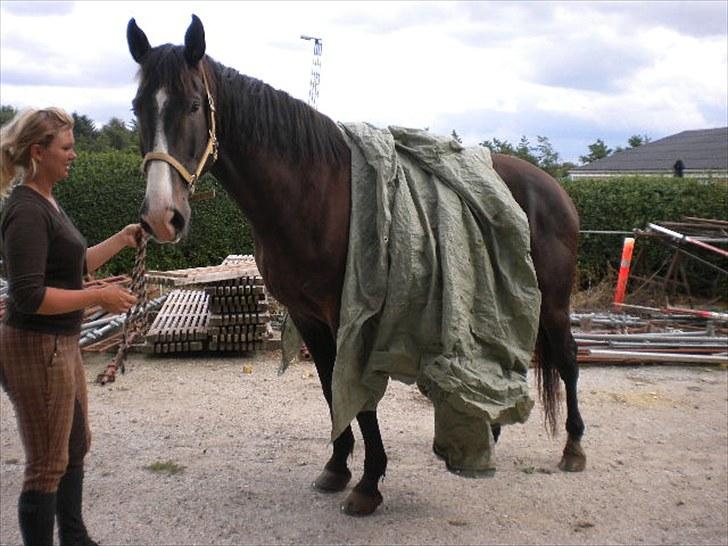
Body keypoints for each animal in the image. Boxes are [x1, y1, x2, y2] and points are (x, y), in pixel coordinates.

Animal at [128, 12, 584, 516]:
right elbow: (332, 388)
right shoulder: (307, 316)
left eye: (193, 105)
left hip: (554, 303)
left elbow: (359, 397)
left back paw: (573, 448)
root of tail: (553, 187)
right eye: (137, 109)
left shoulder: (353, 317)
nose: (161, 216)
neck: (312, 192)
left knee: (567, 359)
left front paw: (368, 483)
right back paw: (490, 433)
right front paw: (337, 467)